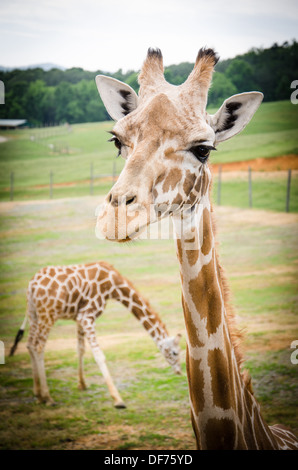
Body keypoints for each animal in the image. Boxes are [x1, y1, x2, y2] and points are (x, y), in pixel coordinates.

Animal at [9, 260, 182, 408]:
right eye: (175, 352)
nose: (179, 371)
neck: (112, 284)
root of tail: (31, 286)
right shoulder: (87, 316)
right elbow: (99, 355)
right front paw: (118, 399)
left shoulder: (79, 317)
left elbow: (80, 349)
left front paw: (82, 384)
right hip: (48, 315)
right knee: (39, 347)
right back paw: (48, 397)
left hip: (33, 313)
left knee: (30, 344)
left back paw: (38, 395)